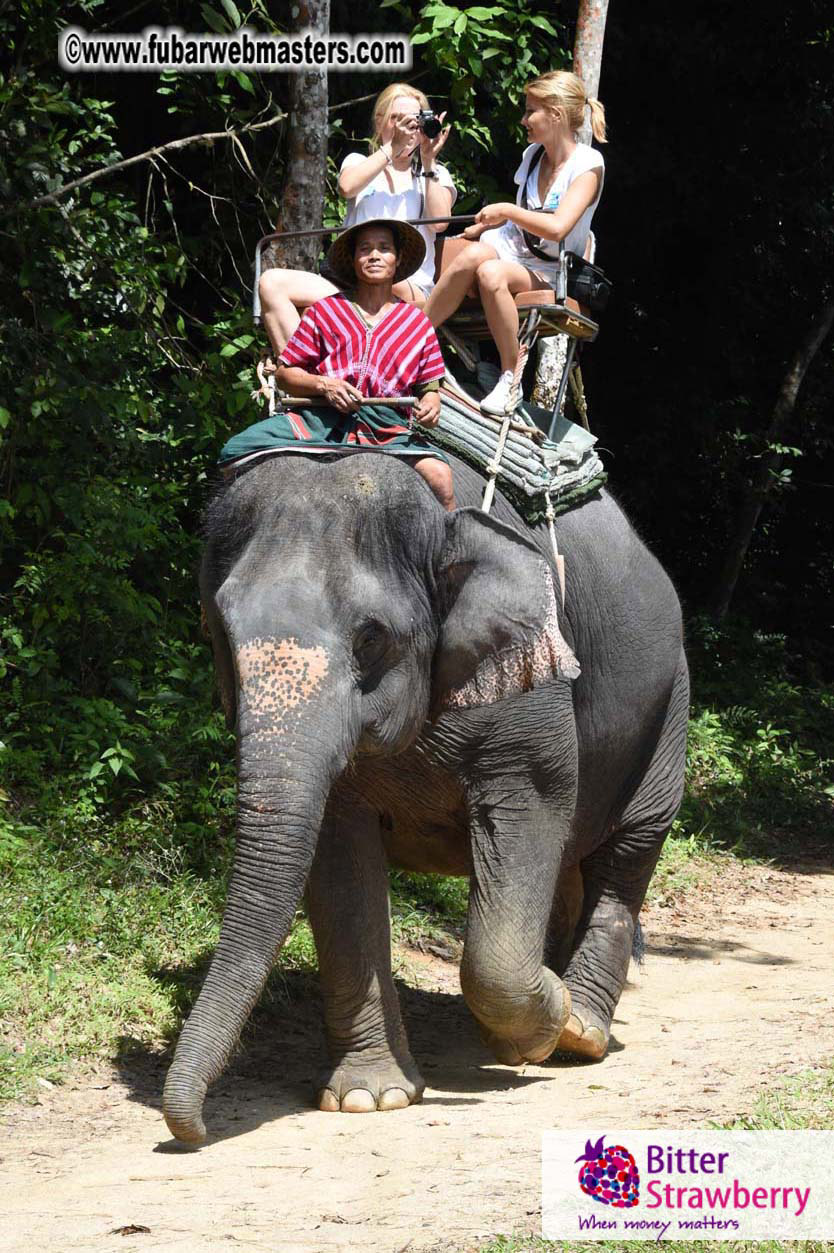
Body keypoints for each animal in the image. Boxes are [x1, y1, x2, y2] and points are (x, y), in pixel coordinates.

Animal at [162, 448, 689, 1144]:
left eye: (370, 638)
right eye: (217, 632)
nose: (190, 1131)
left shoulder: (532, 690)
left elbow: (534, 809)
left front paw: (546, 1023)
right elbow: (340, 864)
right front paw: (370, 1098)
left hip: (669, 706)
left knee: (628, 854)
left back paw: (579, 1033)